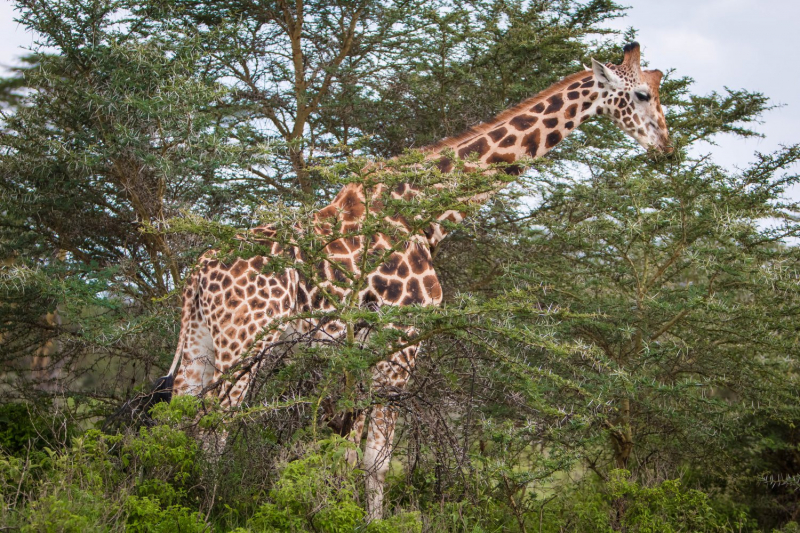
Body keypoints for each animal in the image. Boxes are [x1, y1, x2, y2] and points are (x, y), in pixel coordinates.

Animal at [162, 41, 668, 520]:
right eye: (643, 94)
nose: (666, 146)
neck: (426, 215)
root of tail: (197, 273)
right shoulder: (402, 341)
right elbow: (377, 459)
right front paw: (369, 521)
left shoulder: (363, 350)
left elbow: (347, 450)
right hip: (244, 341)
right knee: (214, 427)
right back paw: (206, 511)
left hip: (200, 342)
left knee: (177, 422)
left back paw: (178, 503)